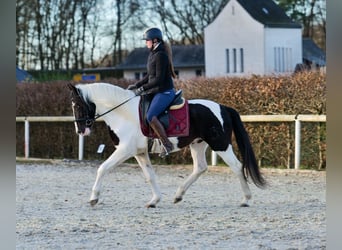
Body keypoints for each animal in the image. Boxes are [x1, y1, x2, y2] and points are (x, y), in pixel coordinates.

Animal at [68, 83, 266, 208]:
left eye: (77, 105)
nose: (80, 131)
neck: (123, 113)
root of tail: (223, 107)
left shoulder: (125, 150)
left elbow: (102, 168)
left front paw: (94, 198)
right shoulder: (139, 153)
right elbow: (150, 176)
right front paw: (154, 200)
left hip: (220, 145)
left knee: (237, 167)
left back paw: (246, 199)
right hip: (198, 144)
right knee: (200, 168)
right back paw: (178, 195)